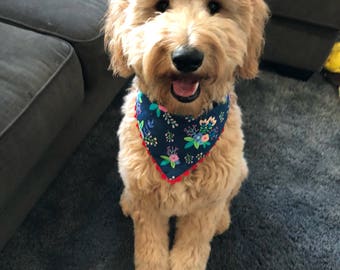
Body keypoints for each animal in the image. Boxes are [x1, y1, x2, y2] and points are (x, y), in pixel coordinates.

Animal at [103, 1, 268, 268]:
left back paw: (222, 219)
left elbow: (192, 247)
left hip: (239, 170)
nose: (187, 58)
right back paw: (127, 201)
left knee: (227, 200)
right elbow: (150, 247)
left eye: (214, 6)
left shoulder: (206, 205)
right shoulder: (147, 202)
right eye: (160, 7)